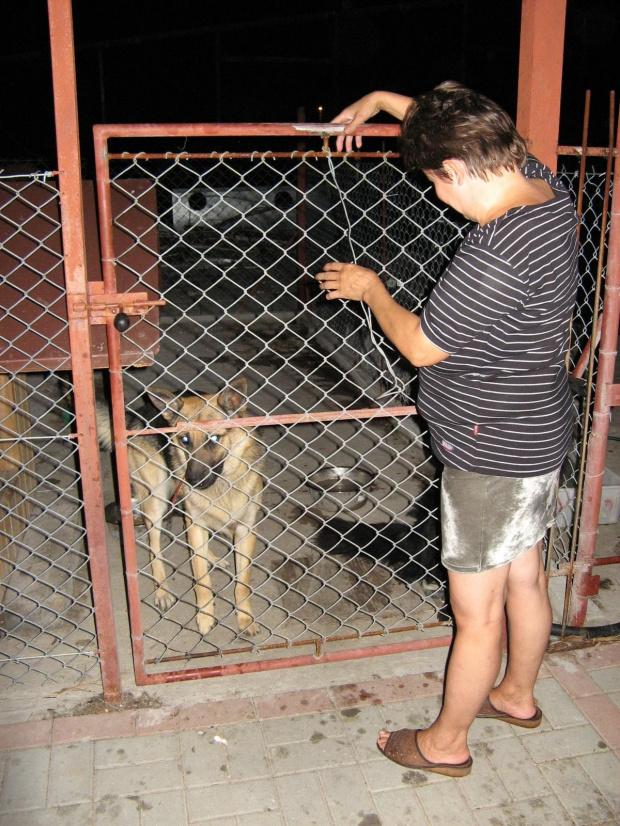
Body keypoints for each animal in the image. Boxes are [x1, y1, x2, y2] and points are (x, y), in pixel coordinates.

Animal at [97, 376, 264, 636]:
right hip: (157, 501)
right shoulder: (195, 520)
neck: (222, 486)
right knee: (155, 549)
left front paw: (245, 618)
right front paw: (205, 617)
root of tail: (135, 415)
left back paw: (213, 558)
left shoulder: (246, 530)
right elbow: (202, 581)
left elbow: (242, 583)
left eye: (214, 439)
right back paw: (162, 590)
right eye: (185, 440)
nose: (192, 481)